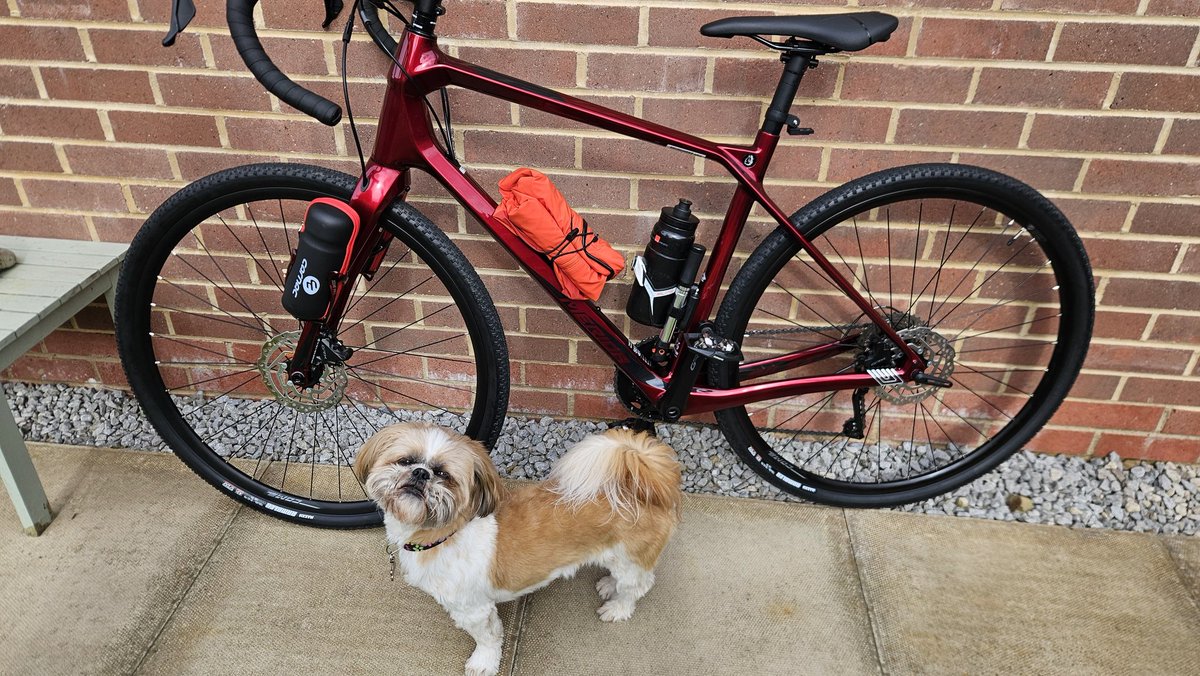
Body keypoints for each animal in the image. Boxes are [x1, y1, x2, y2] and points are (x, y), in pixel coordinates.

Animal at [350, 422, 681, 676]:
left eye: (444, 474)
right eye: (405, 461)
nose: (421, 473)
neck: (447, 532)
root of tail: (645, 484)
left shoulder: (473, 608)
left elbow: (487, 638)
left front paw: (483, 663)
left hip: (630, 558)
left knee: (638, 586)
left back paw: (617, 607)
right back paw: (608, 584)